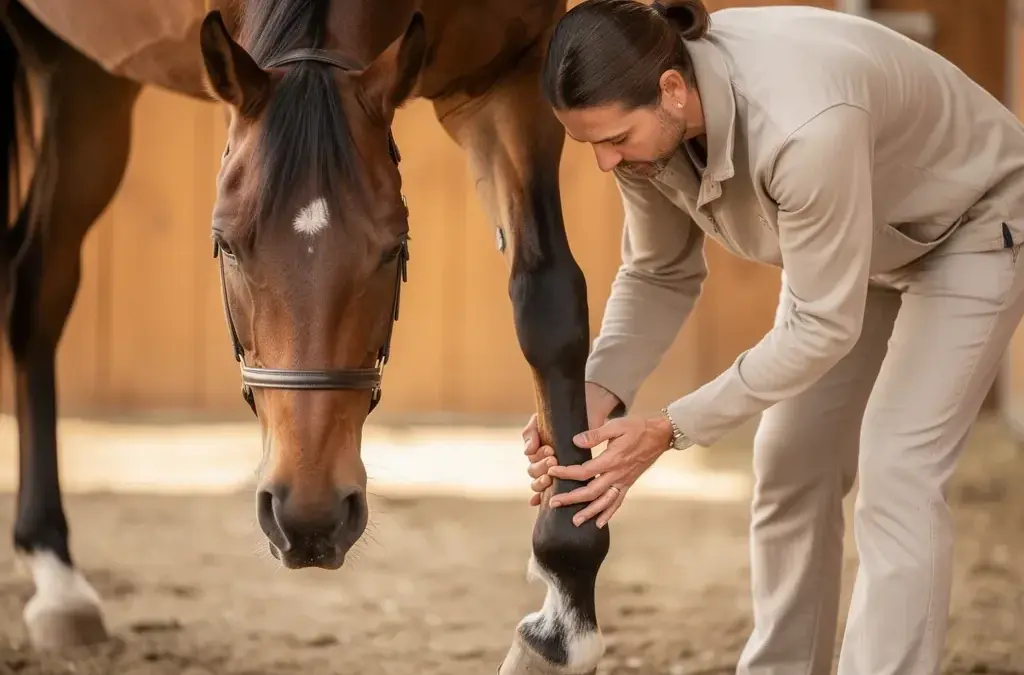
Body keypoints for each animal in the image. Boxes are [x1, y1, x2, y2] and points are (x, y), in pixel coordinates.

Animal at [0, 0, 612, 673]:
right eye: (225, 243)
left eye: (394, 247)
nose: (310, 519)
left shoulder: (509, 76)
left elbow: (548, 302)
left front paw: (563, 615)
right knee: (38, 287)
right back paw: (57, 578)